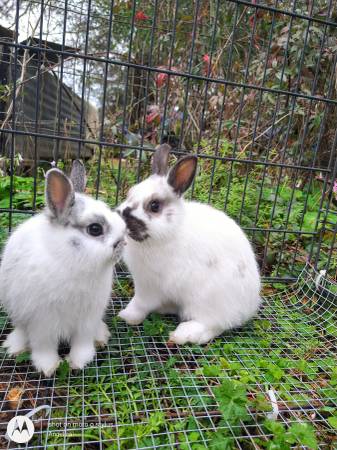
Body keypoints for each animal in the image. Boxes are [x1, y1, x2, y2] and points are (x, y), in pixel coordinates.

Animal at [0, 162, 125, 376]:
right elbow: (43, 346)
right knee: (21, 332)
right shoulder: (42, 321)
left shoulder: (88, 318)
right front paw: (48, 367)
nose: (123, 242)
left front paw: (78, 362)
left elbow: (82, 342)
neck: (73, 263)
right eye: (95, 229)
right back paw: (14, 347)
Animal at [117, 144, 262, 344]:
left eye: (154, 206)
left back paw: (184, 334)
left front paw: (126, 316)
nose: (120, 216)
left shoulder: (148, 285)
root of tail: (249, 307)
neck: (170, 233)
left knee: (214, 325)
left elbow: (139, 304)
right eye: (129, 193)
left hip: (206, 301)